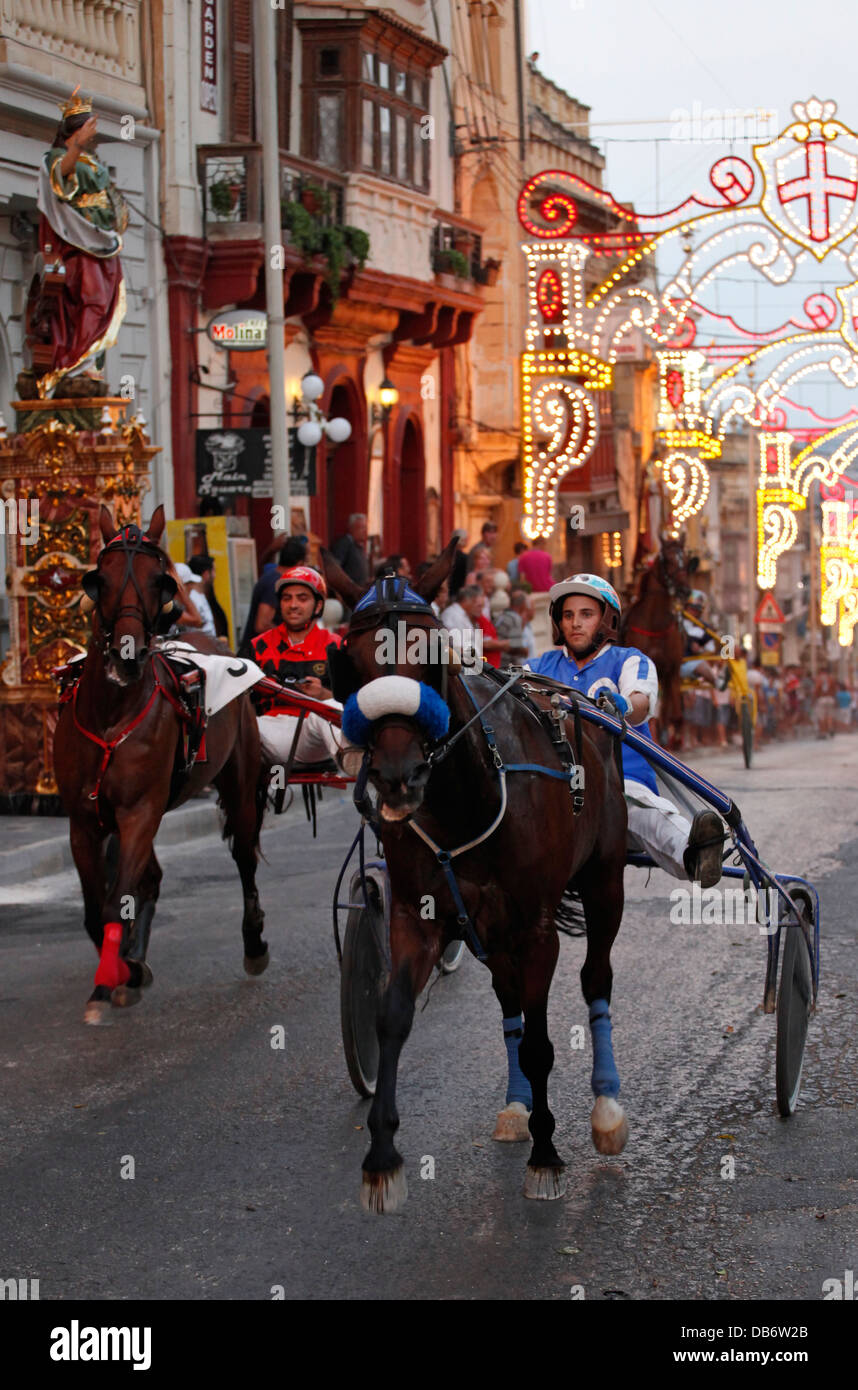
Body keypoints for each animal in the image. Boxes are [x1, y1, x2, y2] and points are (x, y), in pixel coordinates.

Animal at [54, 505, 266, 1028]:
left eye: (159, 580)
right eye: (100, 579)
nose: (127, 657)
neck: (111, 714)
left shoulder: (139, 811)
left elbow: (116, 903)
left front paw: (121, 972)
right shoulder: (84, 821)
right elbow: (97, 909)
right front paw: (122, 970)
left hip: (238, 777)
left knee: (244, 856)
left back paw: (254, 942)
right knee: (149, 877)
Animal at [321, 536, 628, 1212]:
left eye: (432, 654)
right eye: (350, 659)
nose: (396, 777)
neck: (469, 798)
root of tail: (583, 703)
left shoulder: (536, 927)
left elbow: (541, 1042)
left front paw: (547, 1154)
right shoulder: (420, 914)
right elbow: (392, 1016)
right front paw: (382, 1158)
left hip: (605, 882)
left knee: (596, 978)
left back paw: (605, 1109)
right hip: (488, 930)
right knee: (508, 997)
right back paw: (516, 1108)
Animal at [620, 530, 692, 750]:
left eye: (686, 560)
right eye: (667, 560)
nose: (684, 591)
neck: (656, 625)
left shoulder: (673, 669)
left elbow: (675, 715)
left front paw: (674, 739)